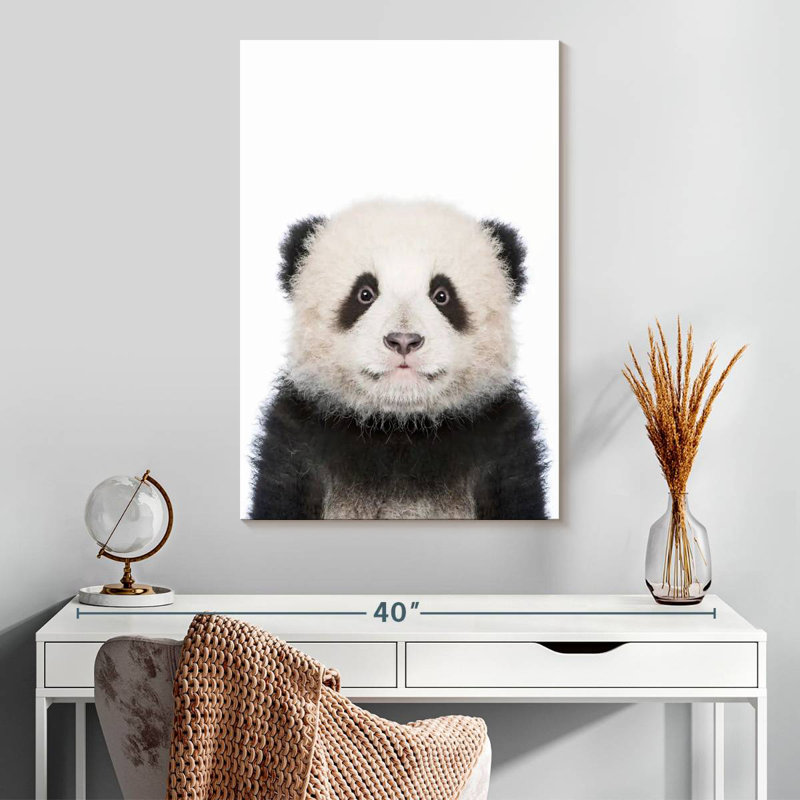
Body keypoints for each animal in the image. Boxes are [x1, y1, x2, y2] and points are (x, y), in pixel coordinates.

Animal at [249, 199, 548, 520]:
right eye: (364, 293)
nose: (403, 340)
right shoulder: (297, 443)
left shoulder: (502, 444)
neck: (399, 428)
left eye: (442, 295)